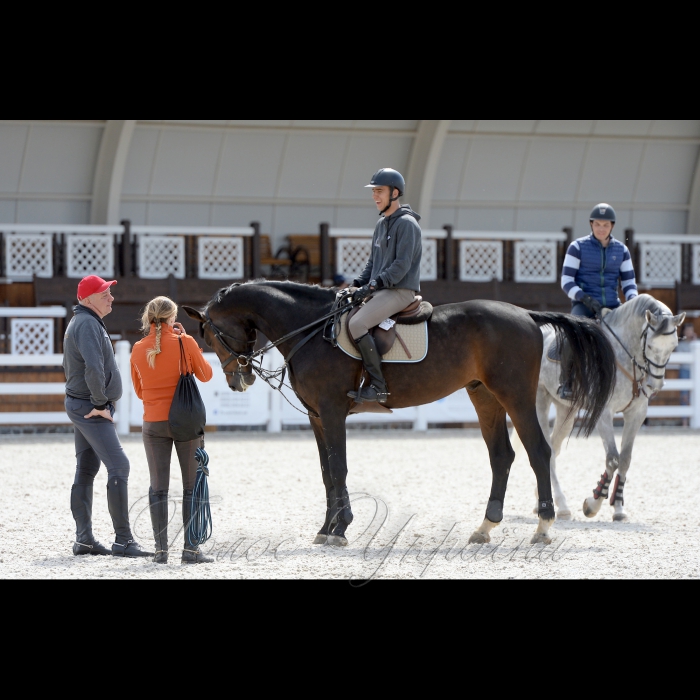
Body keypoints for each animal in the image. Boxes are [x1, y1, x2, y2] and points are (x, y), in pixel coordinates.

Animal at [185, 282, 612, 544]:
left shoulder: (333, 411)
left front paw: (341, 530)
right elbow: (326, 473)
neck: (312, 330)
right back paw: (485, 528)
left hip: (516, 396)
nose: (238, 381)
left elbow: (338, 468)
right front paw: (326, 528)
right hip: (484, 397)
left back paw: (543, 527)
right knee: (501, 456)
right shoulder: (316, 417)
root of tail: (526, 315)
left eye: (211, 336)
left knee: (538, 452)